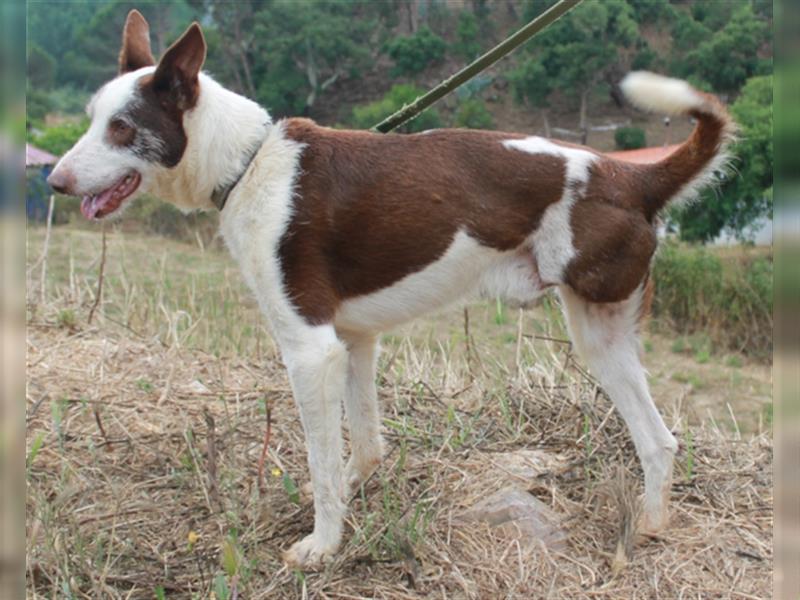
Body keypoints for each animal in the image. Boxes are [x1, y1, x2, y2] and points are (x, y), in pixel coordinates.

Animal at [48, 11, 736, 568]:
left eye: (122, 128)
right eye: (92, 121)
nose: (54, 181)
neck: (248, 163)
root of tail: (631, 177)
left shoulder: (310, 351)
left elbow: (324, 464)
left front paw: (323, 546)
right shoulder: (354, 342)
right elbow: (366, 447)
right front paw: (351, 501)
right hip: (602, 341)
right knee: (659, 441)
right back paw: (648, 527)